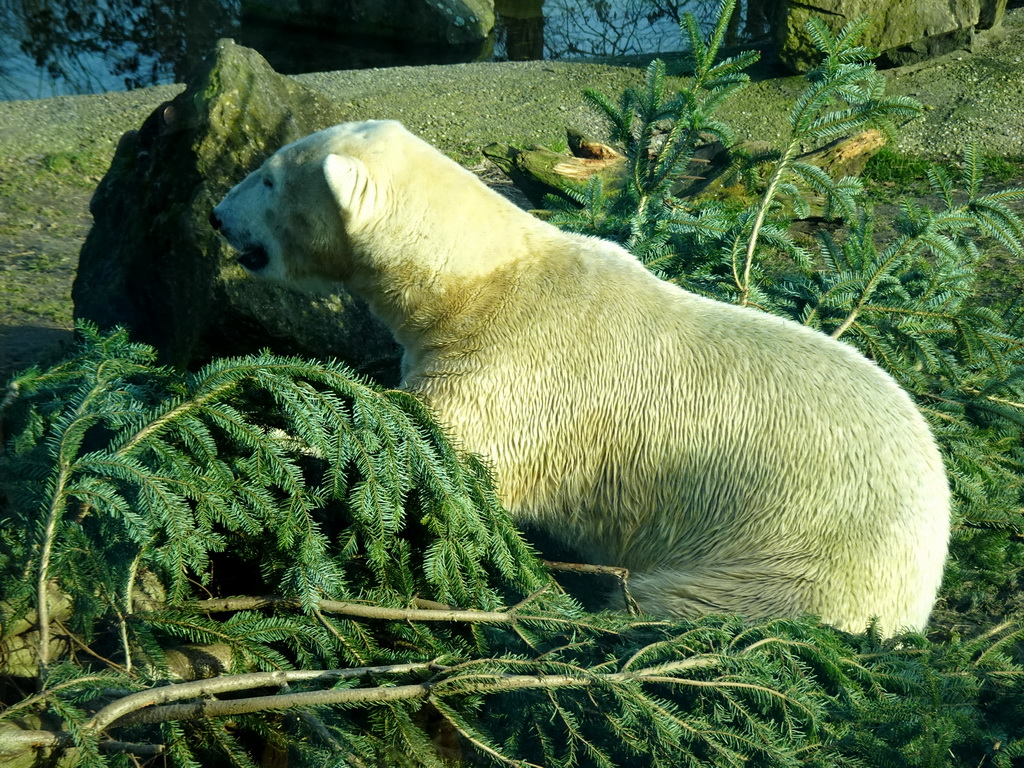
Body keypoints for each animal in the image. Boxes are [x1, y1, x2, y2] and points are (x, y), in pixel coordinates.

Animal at [209, 120, 950, 638]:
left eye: (268, 178)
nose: (217, 214)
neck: (477, 284)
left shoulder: (515, 373)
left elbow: (439, 454)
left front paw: (265, 428)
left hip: (798, 557)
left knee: (683, 602)